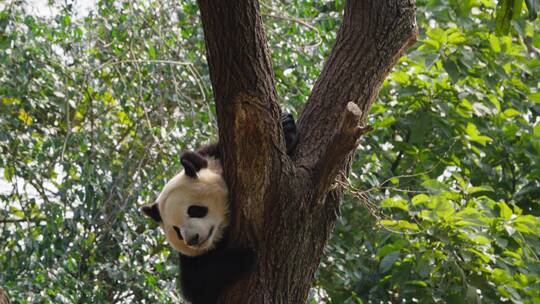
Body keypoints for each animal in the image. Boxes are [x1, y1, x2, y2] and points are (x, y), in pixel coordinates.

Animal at [141, 113, 298, 304]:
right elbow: (196, 283)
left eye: (194, 210)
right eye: (177, 231)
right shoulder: (191, 259)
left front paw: (287, 126)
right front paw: (245, 256)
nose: (192, 240)